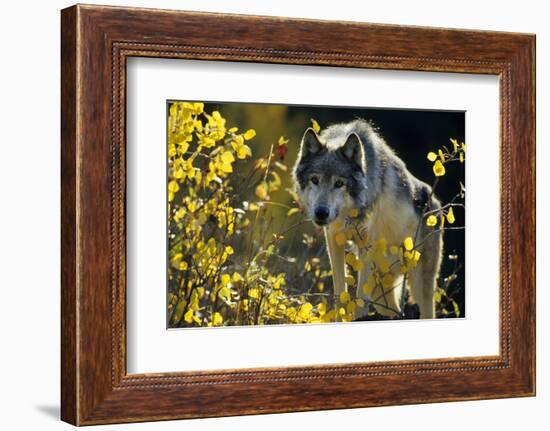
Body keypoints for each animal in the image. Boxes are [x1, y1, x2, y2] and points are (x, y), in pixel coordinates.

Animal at [294, 120, 444, 318]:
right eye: (314, 180)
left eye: (339, 183)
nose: (321, 213)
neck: (349, 214)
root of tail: (437, 205)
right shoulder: (333, 241)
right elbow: (339, 291)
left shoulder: (366, 245)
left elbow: (360, 300)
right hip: (382, 287)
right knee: (395, 311)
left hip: (419, 284)